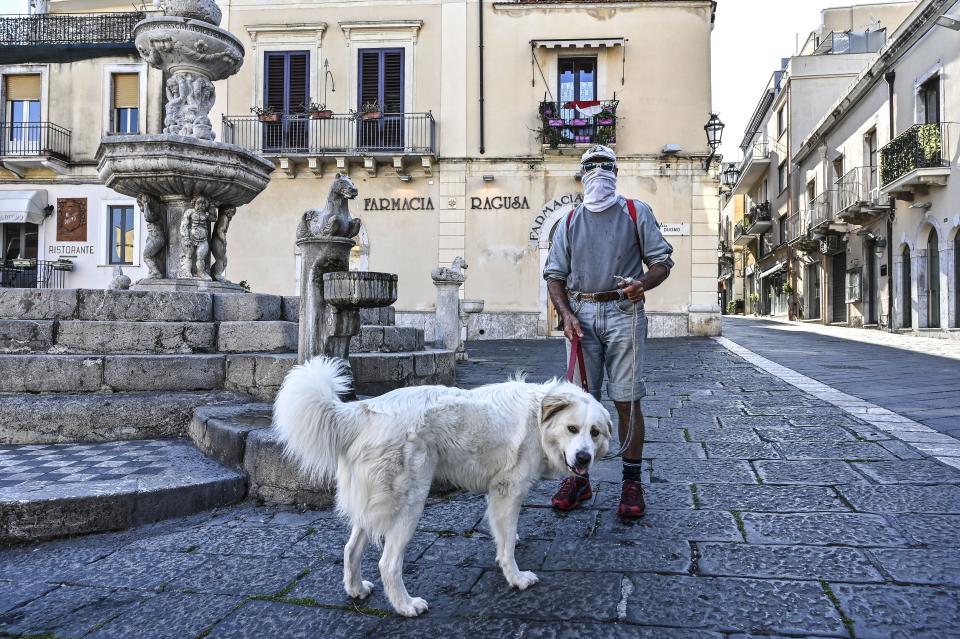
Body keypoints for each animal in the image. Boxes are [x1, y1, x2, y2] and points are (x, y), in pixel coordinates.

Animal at [274, 358, 612, 616]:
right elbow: (505, 546)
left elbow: (503, 533)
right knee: (388, 563)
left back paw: (356, 590)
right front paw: (516, 577)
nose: (584, 458)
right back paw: (406, 606)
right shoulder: (508, 490)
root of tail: (364, 411)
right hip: (410, 504)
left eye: (594, 432)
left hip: (375, 504)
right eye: (572, 429)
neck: (538, 419)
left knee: (351, 548)